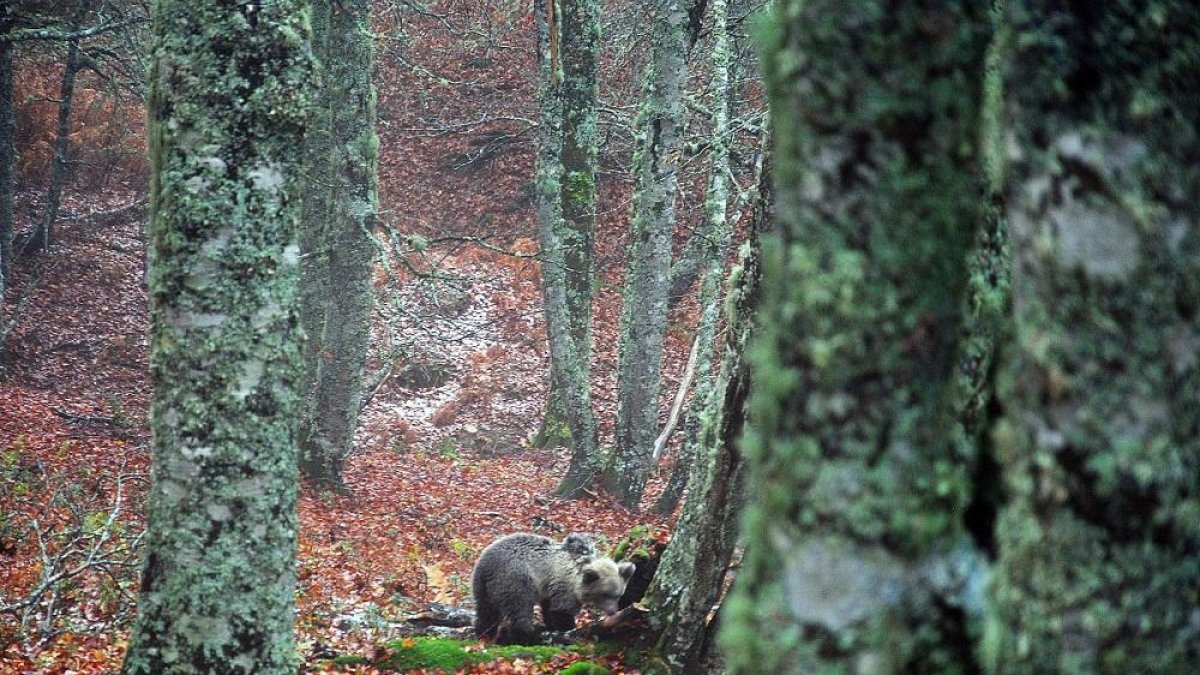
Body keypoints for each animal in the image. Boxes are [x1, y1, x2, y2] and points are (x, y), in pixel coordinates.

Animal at [471, 532, 635, 644]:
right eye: (605, 594)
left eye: (618, 594)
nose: (613, 611)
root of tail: (485, 566)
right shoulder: (565, 586)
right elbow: (562, 612)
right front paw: (568, 631)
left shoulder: (550, 589)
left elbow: (549, 610)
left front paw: (552, 627)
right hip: (516, 580)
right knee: (520, 610)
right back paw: (528, 636)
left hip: (483, 587)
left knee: (486, 612)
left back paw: (484, 634)